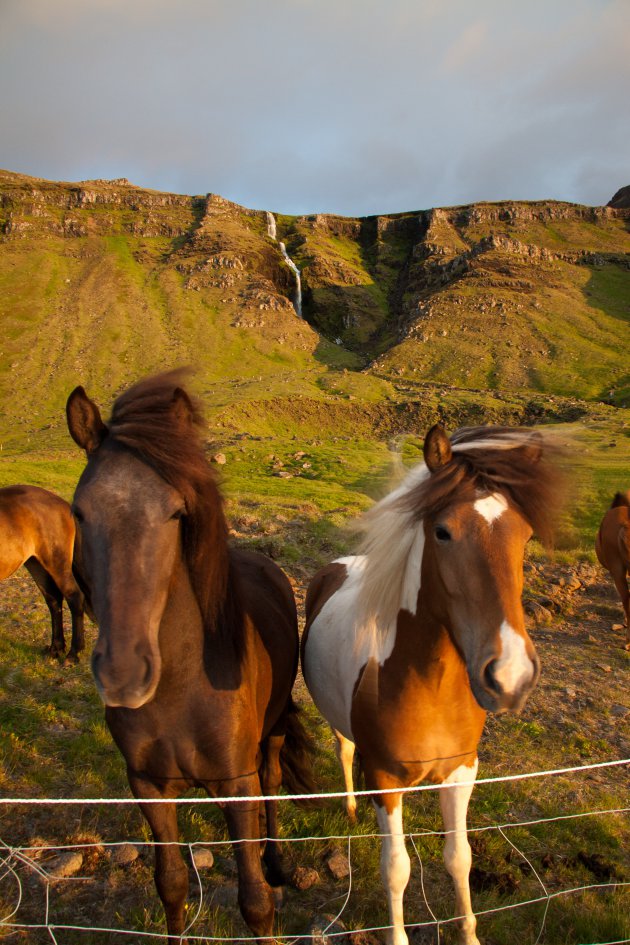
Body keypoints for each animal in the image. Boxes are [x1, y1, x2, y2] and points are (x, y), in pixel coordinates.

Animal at [0, 484, 85, 660]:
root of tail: (63, 504)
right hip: (36, 564)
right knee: (53, 600)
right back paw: (56, 648)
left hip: (57, 563)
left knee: (74, 597)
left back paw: (73, 653)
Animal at [66, 372, 314, 940]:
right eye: (79, 512)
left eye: (176, 511)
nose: (123, 674)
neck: (181, 689)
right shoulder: (149, 787)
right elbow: (172, 885)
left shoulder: (236, 786)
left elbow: (255, 903)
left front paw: (265, 882)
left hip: (270, 736)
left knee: (272, 783)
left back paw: (276, 862)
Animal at [302, 424, 564, 944]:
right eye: (443, 532)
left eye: (525, 536)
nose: (511, 675)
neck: (431, 687)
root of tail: (338, 565)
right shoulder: (384, 779)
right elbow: (397, 869)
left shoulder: (463, 770)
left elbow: (459, 858)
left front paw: (469, 933)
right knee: (344, 749)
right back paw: (350, 809)